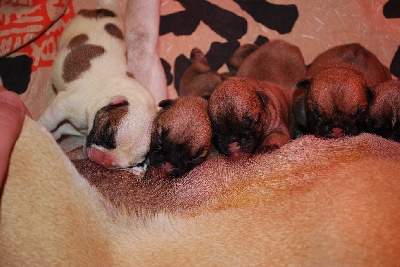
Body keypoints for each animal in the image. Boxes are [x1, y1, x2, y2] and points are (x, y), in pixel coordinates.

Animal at [38, 0, 156, 170]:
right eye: (107, 133)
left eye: (132, 165)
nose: (104, 160)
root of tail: (105, 8)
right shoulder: (63, 105)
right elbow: (50, 120)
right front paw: (40, 127)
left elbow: (62, 128)